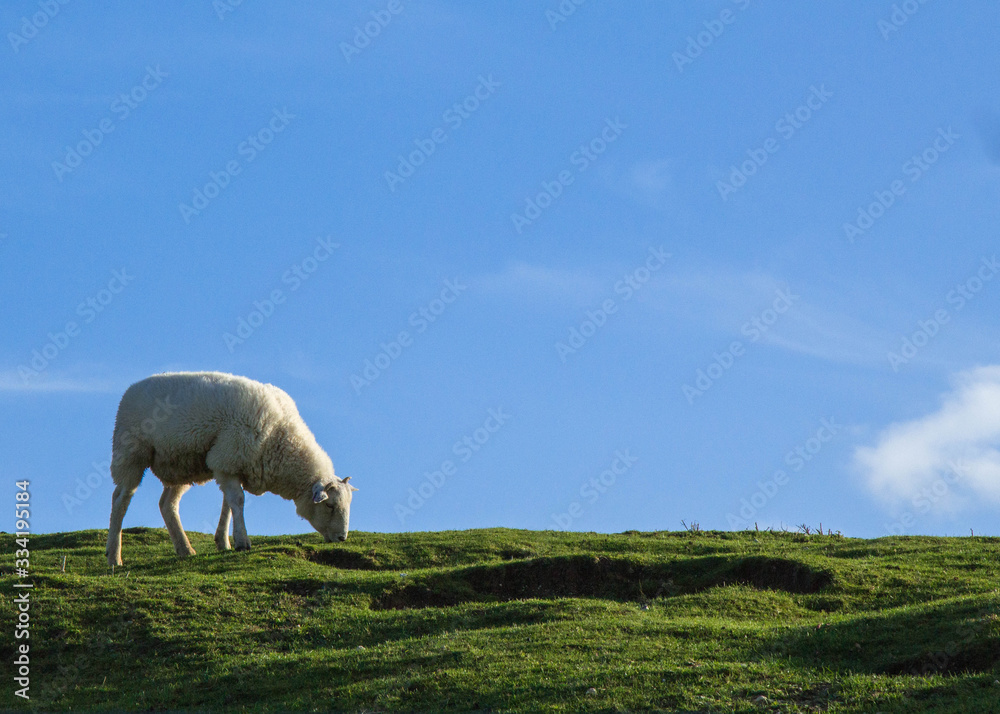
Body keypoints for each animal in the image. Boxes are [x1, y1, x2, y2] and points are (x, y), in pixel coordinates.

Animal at [106, 371, 357, 566]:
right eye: (330, 506)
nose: (342, 538)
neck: (280, 437)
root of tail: (132, 388)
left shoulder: (232, 464)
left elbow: (228, 503)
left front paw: (224, 542)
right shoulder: (227, 457)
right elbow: (238, 501)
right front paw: (242, 542)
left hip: (181, 464)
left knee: (167, 504)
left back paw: (185, 549)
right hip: (130, 452)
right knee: (120, 499)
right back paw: (114, 556)